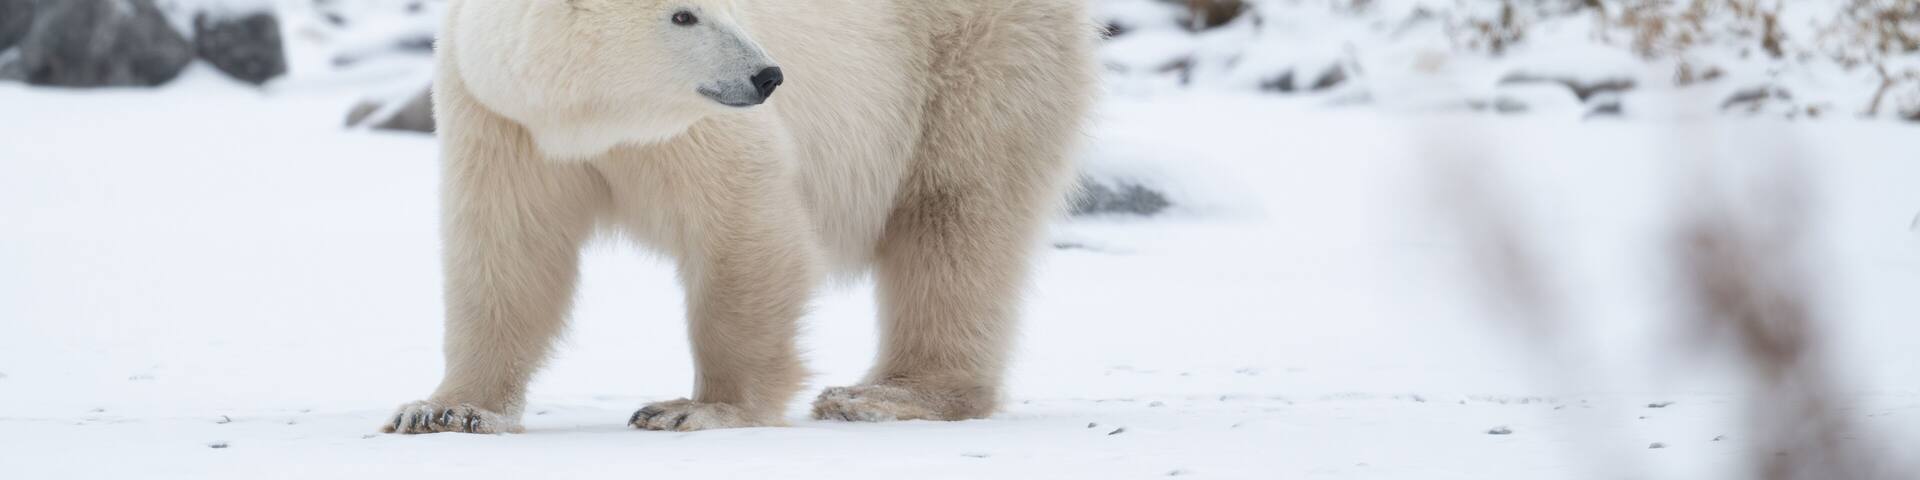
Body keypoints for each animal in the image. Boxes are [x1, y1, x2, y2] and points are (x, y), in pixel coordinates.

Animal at [382, 0, 1097, 434]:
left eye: (729, 3)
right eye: (684, 13)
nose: (768, 75)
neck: (585, 122)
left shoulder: (694, 127)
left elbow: (745, 230)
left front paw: (695, 409)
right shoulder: (497, 117)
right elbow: (507, 253)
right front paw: (446, 410)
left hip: (971, 56)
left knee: (954, 216)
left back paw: (882, 396)